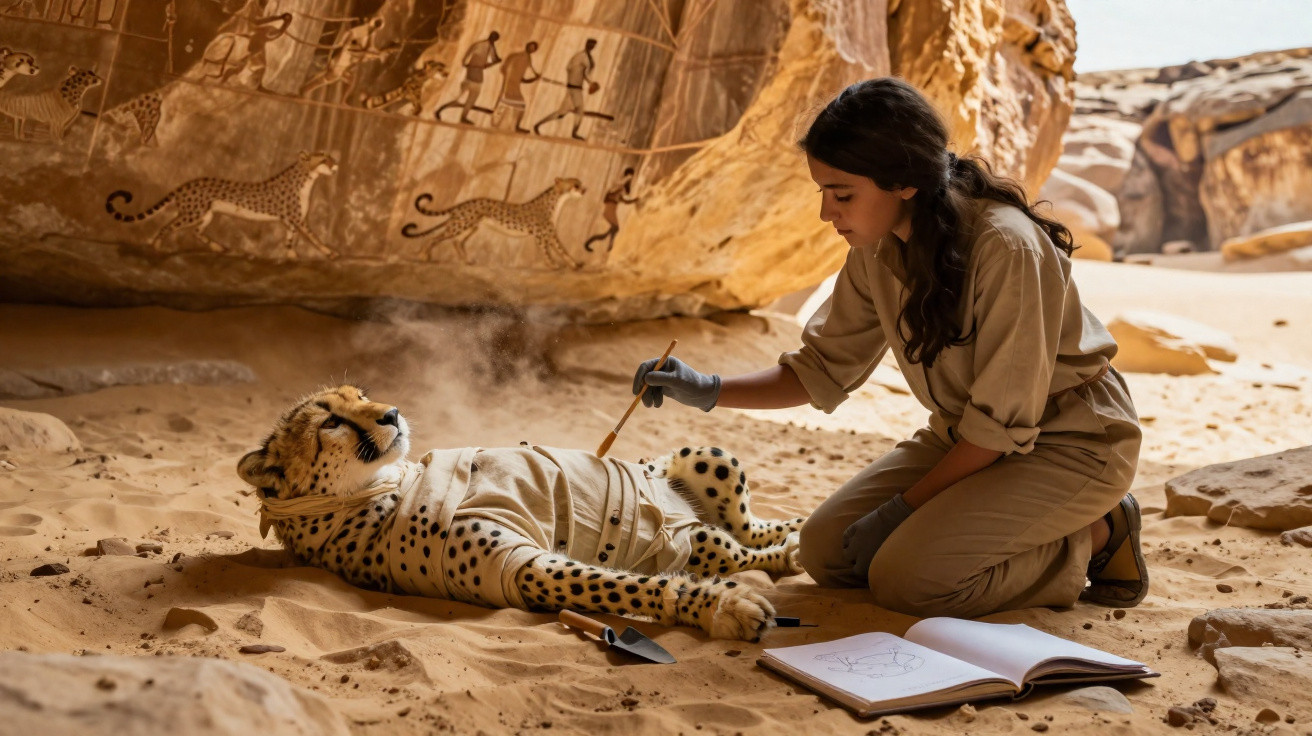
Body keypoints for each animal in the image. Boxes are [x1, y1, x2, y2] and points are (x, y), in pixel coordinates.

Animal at [105, 151, 338, 260]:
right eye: (323, 159)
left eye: (330, 157)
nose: (336, 164)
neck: (307, 177)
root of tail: (185, 184)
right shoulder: (297, 219)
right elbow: (313, 237)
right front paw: (329, 252)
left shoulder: (290, 221)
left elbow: (291, 239)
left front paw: (292, 256)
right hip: (192, 213)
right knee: (167, 226)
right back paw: (157, 247)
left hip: (207, 214)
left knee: (197, 232)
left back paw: (219, 247)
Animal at [236, 385, 807, 641]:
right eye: (330, 422)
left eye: (362, 395)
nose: (392, 414)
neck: (379, 487)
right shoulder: (523, 566)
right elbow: (623, 585)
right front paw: (722, 607)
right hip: (693, 538)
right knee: (734, 548)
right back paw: (791, 553)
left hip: (706, 461)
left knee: (748, 526)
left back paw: (799, 530)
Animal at [401, 177, 586, 269]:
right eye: (575, 185)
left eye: (580, 184)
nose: (584, 190)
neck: (558, 200)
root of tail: (462, 204)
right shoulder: (541, 235)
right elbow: (548, 252)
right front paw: (553, 265)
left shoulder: (550, 234)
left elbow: (563, 251)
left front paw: (575, 264)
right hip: (459, 226)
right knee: (435, 238)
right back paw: (423, 256)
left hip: (470, 227)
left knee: (457, 241)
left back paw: (466, 261)